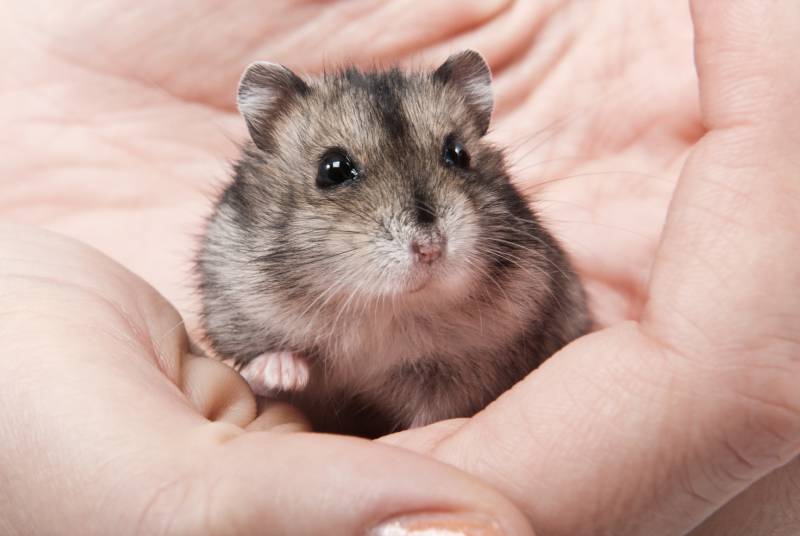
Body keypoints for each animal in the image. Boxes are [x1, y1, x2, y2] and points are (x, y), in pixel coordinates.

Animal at [197, 50, 590, 438]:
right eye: (333, 168)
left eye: (458, 153)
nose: (430, 249)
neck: (383, 306)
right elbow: (264, 355)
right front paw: (283, 374)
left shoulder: (468, 367)